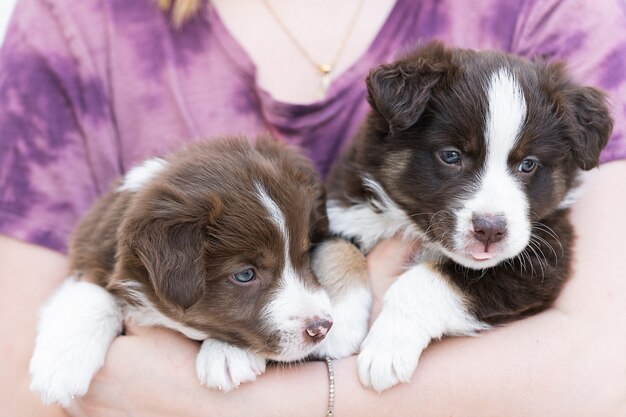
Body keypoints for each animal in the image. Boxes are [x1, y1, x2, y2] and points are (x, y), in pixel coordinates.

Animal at [29, 136, 368, 404]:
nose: (321, 327)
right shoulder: (92, 251)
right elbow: (90, 291)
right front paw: (59, 365)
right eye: (245, 275)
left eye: (304, 254)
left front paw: (227, 355)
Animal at [326, 41, 608, 390]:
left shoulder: (541, 263)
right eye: (451, 156)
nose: (490, 230)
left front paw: (386, 349)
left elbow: (429, 278)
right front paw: (338, 323)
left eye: (528, 164)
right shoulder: (344, 206)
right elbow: (337, 249)